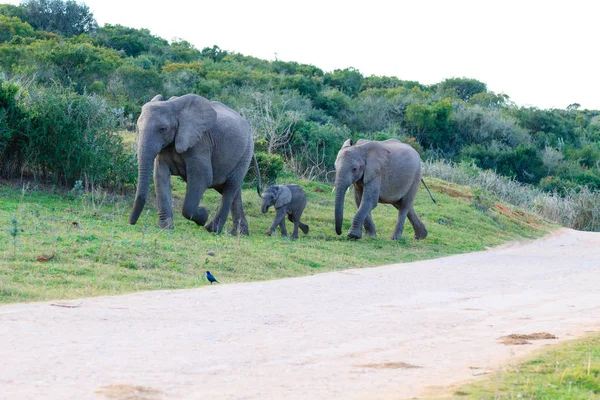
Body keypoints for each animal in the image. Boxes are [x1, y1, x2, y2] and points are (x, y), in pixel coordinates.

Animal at [129, 94, 260, 236]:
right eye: (137, 128)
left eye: (162, 129)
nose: (132, 223)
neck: (173, 106)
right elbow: (160, 176)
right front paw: (165, 227)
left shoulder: (200, 143)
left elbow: (203, 178)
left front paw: (203, 215)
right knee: (232, 191)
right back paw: (239, 233)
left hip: (245, 154)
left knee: (230, 188)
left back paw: (212, 229)